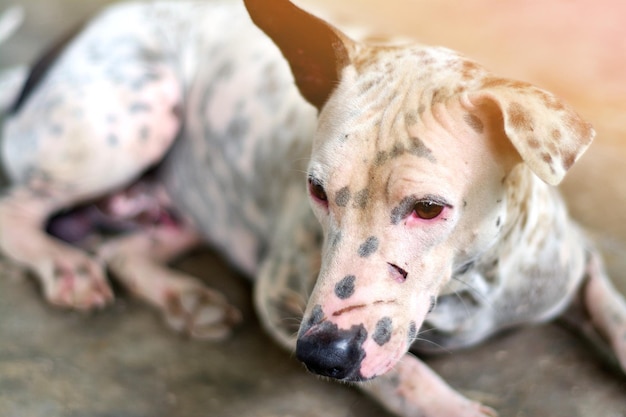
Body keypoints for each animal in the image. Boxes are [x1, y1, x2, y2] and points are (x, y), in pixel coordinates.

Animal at [1, 0, 624, 414]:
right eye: (317, 190)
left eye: (429, 208)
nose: (323, 355)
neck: (469, 285)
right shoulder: (280, 297)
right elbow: (407, 376)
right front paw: (452, 405)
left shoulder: (577, 262)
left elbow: (612, 309)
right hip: (138, 115)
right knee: (19, 210)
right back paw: (64, 265)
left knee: (124, 250)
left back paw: (183, 297)